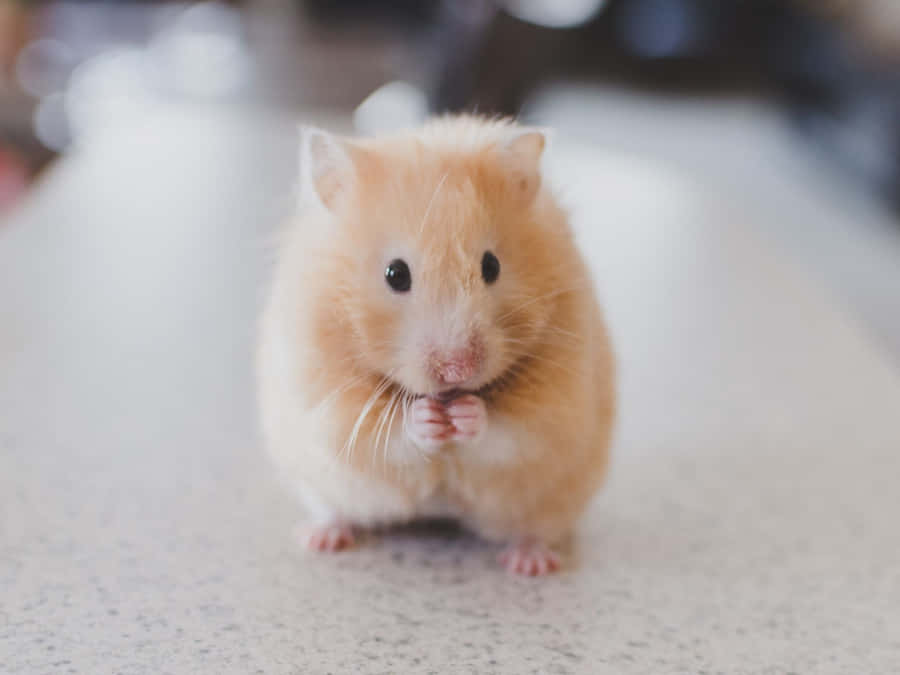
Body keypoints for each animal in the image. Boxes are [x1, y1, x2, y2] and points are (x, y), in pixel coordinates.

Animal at [257, 115, 615, 575]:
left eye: (491, 266)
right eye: (395, 274)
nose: (457, 370)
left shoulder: (556, 405)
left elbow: (508, 430)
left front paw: (466, 414)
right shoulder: (327, 400)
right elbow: (387, 434)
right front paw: (427, 418)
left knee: (534, 529)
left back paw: (530, 563)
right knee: (334, 510)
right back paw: (320, 539)